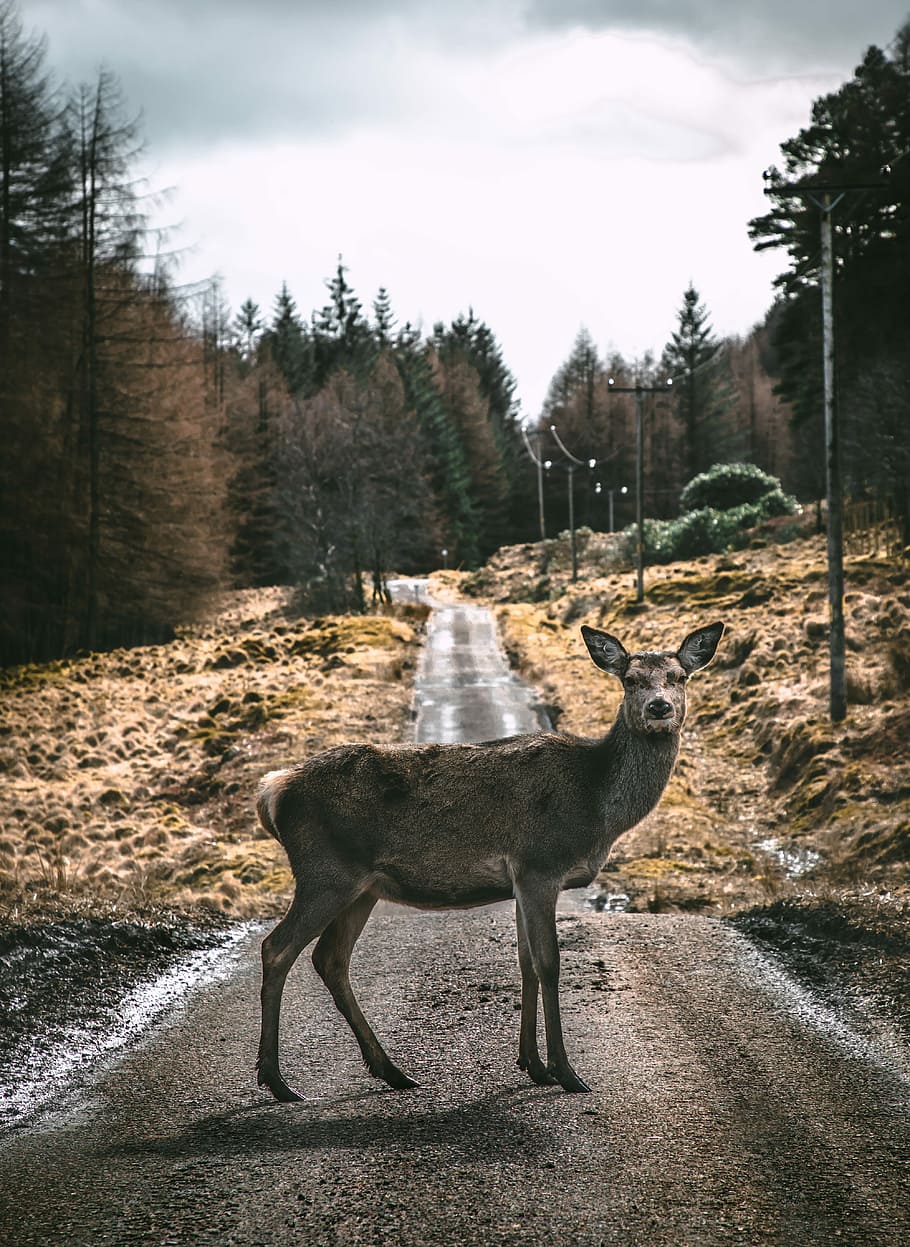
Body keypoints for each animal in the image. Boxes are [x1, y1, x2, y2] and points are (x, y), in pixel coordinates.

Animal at [255, 618, 723, 1097]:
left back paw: (390, 1070)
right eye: (630, 679)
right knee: (277, 947)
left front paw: (532, 1064)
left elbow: (526, 964)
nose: (659, 708)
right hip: (324, 872)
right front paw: (565, 1071)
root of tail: (273, 790)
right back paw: (275, 1079)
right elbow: (549, 964)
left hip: (361, 886)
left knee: (330, 959)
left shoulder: (519, 880)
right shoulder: (540, 864)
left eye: (679, 677)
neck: (593, 804)